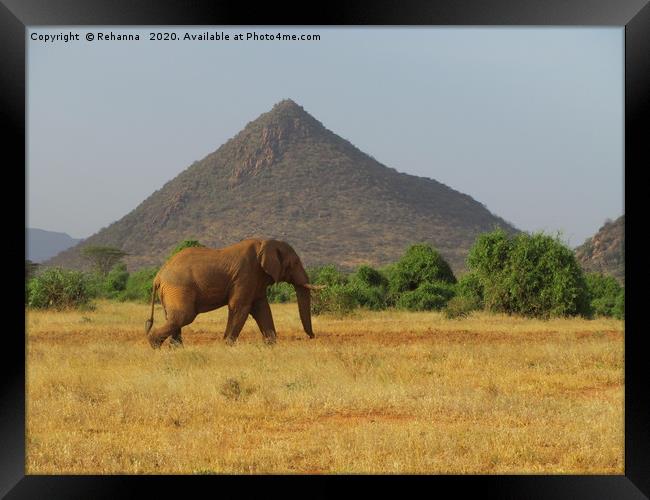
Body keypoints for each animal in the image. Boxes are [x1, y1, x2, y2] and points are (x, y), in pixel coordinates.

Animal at [144, 239, 322, 348]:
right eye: (295, 263)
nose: (312, 337)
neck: (266, 242)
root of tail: (158, 275)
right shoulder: (246, 274)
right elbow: (240, 307)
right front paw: (227, 345)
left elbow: (262, 308)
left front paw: (270, 345)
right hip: (178, 289)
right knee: (183, 316)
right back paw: (154, 345)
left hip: (171, 292)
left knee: (174, 318)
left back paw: (176, 350)